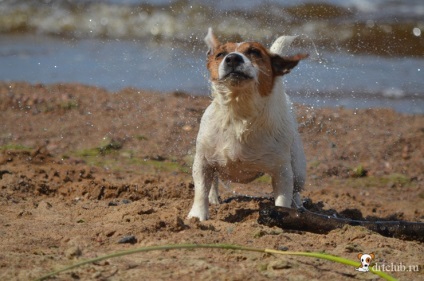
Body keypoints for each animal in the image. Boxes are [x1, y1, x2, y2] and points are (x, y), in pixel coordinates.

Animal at [187, 29, 306, 221]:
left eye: (255, 52)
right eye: (220, 54)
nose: (232, 58)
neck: (239, 112)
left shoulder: (283, 172)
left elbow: (283, 198)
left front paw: (281, 213)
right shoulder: (202, 162)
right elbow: (201, 190)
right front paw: (197, 216)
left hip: (299, 169)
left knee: (296, 191)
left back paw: (299, 208)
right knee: (213, 181)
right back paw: (213, 198)